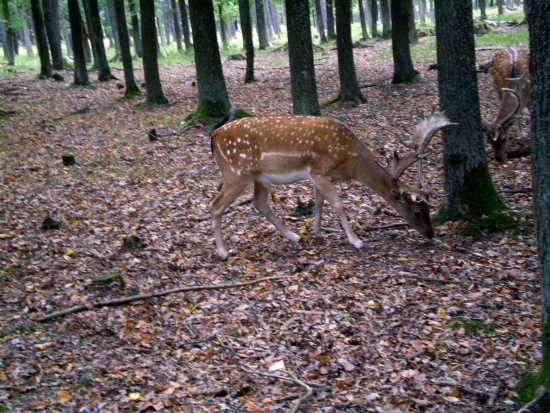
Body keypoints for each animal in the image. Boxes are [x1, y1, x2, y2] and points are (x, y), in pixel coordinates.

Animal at [209, 109, 454, 258]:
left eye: (428, 209)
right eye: (418, 212)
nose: (431, 233)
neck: (349, 161)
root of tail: (214, 135)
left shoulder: (320, 175)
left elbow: (319, 202)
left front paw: (317, 232)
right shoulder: (319, 171)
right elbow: (337, 204)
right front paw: (356, 241)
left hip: (259, 176)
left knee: (259, 203)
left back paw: (293, 236)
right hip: (236, 172)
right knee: (216, 206)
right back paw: (222, 251)